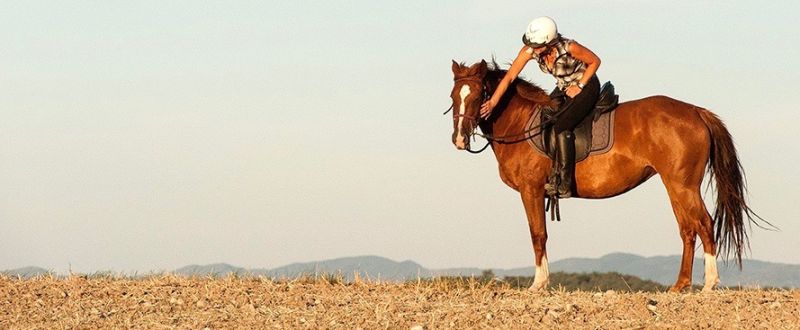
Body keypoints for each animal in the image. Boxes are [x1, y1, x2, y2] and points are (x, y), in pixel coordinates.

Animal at [446, 59, 764, 292]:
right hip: (675, 186)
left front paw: (539, 284)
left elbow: (538, 234)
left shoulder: (531, 190)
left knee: (704, 224)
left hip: (683, 185)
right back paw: (679, 285)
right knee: (688, 229)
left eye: (477, 96)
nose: (459, 139)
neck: (521, 124)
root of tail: (696, 111)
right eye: (453, 96)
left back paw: (709, 284)